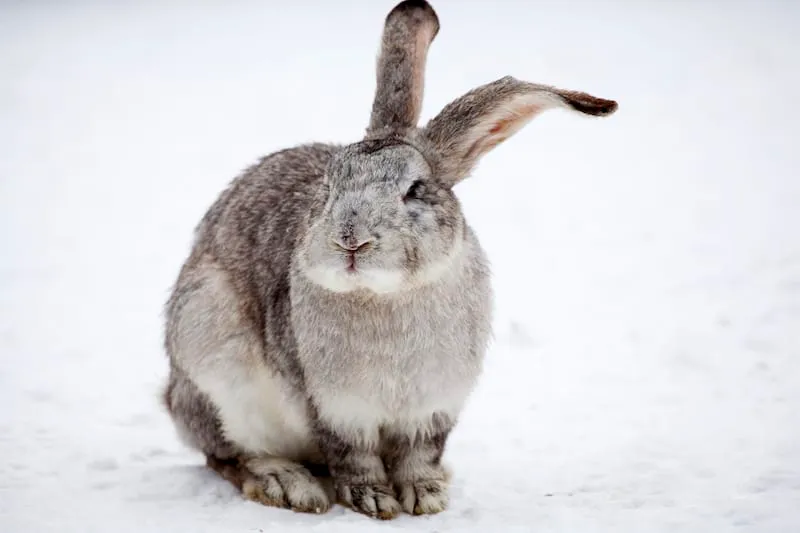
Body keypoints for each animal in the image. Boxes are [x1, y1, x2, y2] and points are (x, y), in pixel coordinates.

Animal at [162, 0, 617, 521]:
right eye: (328, 186)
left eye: (414, 189)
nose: (350, 240)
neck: (385, 294)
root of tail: (173, 398)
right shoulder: (335, 407)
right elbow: (353, 456)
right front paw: (374, 500)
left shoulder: (433, 409)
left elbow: (419, 454)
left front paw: (425, 496)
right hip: (212, 356)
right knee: (228, 455)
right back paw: (287, 484)